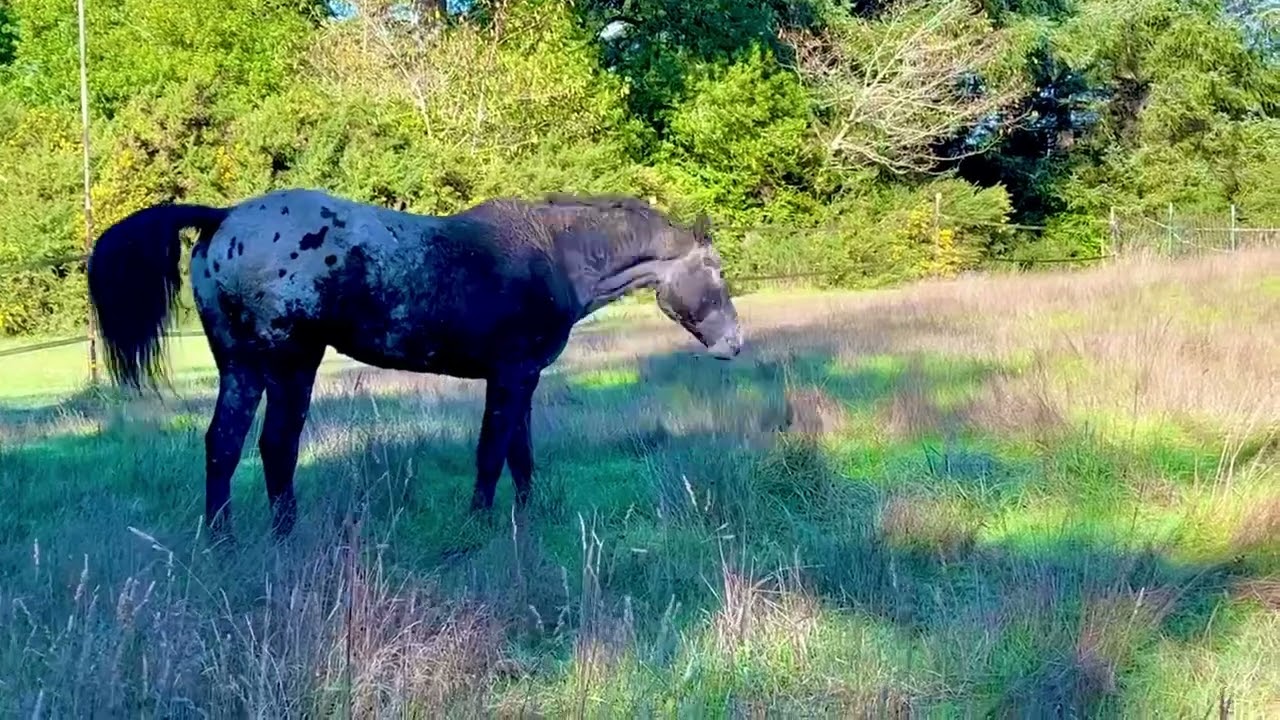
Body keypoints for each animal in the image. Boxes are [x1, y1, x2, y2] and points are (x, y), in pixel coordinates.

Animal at [85, 188, 743, 542]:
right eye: (715, 272)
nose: (735, 342)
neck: (553, 254)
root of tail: (223, 218)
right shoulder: (510, 376)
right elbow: (491, 453)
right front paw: (479, 523)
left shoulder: (523, 379)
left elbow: (520, 455)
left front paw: (525, 519)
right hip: (292, 366)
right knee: (275, 447)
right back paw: (284, 537)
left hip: (242, 369)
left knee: (223, 446)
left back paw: (226, 541)